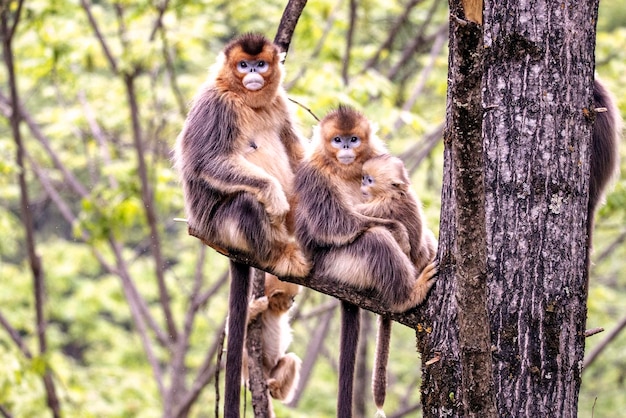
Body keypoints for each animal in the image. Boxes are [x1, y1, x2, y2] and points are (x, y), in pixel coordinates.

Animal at [243, 272, 302, 414]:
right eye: (291, 297)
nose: (293, 302)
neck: (271, 309)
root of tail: (265, 373)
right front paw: (256, 307)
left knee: (291, 359)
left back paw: (276, 391)